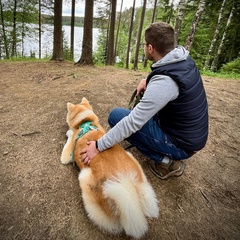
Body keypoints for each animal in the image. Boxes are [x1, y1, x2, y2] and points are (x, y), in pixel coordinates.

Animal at [60, 97, 159, 238]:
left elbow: (69, 138)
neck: (86, 124)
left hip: (84, 178)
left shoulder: (67, 155)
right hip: (133, 163)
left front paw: (69, 132)